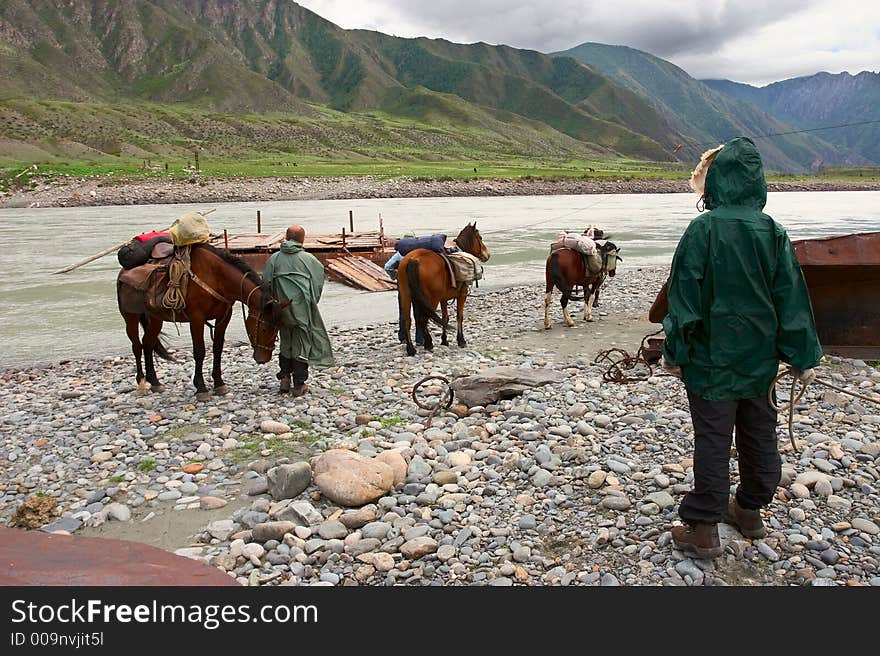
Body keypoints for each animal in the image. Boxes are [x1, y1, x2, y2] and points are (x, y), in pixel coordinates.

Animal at [117, 242, 280, 400]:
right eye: (264, 328)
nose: (263, 359)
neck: (217, 277)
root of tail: (123, 272)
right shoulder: (197, 318)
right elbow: (199, 351)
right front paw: (201, 388)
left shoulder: (224, 317)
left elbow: (217, 349)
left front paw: (219, 384)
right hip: (130, 317)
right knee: (137, 346)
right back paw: (141, 382)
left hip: (156, 318)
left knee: (147, 343)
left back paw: (155, 382)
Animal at [398, 223, 488, 356]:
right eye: (480, 237)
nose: (487, 254)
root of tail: (413, 260)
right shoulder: (462, 295)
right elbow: (459, 316)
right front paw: (461, 340)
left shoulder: (443, 299)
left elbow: (445, 317)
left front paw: (444, 340)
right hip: (431, 299)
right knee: (423, 320)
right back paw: (428, 344)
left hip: (406, 295)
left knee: (407, 320)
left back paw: (411, 349)